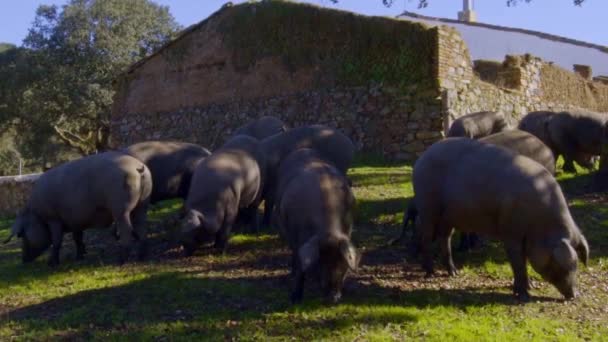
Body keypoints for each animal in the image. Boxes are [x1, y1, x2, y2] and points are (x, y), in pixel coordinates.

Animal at [5, 151, 152, 266]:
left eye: (21, 234)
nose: (23, 261)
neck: (36, 215)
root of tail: (138, 167)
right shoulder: (76, 220)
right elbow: (77, 238)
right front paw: (79, 257)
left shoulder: (53, 219)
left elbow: (56, 241)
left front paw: (52, 264)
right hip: (142, 205)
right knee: (142, 228)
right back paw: (141, 257)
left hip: (122, 210)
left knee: (127, 230)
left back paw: (121, 261)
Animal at [276, 148, 360, 304]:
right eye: (319, 263)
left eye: (342, 264)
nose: (333, 297)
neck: (329, 231)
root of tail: (303, 149)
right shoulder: (296, 237)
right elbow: (300, 265)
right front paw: (295, 299)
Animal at [414, 138, 588, 300]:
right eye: (559, 266)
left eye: (576, 265)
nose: (574, 295)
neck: (540, 224)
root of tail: (422, 157)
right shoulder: (511, 232)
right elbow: (517, 263)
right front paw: (523, 295)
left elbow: (524, 261)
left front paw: (530, 286)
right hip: (427, 206)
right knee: (426, 237)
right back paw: (430, 272)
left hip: (448, 217)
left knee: (445, 238)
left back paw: (454, 273)